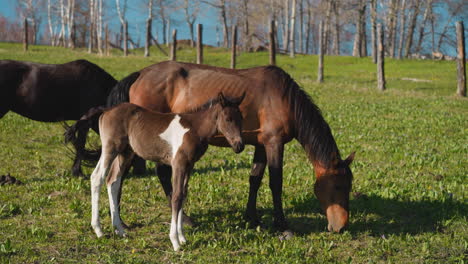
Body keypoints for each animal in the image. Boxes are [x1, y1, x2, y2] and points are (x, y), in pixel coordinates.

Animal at [69, 93, 247, 252]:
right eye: (228, 119)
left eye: (241, 118)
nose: (239, 146)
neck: (194, 128)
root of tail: (106, 110)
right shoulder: (178, 164)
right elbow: (176, 197)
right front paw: (175, 241)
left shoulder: (189, 165)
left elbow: (183, 195)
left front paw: (182, 237)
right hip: (110, 148)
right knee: (97, 177)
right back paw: (98, 230)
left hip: (125, 153)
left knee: (113, 181)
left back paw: (120, 230)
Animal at [97, 61, 354, 233]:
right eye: (338, 186)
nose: (340, 226)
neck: (282, 97)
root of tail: (140, 74)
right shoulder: (274, 143)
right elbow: (275, 182)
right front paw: (281, 225)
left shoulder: (261, 144)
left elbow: (255, 179)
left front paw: (252, 217)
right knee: (123, 176)